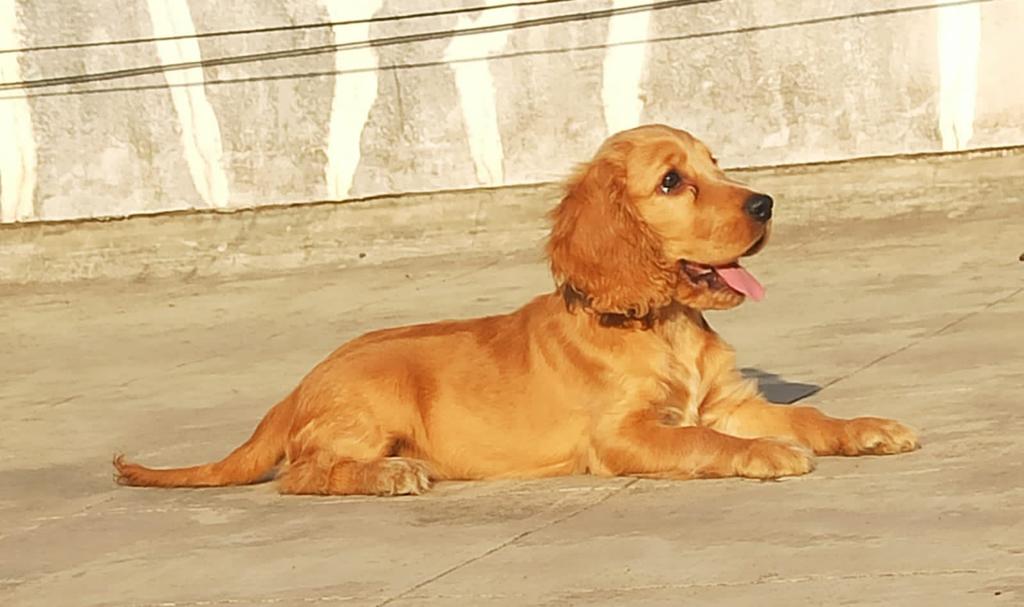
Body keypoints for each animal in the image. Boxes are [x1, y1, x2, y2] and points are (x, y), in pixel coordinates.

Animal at [114, 124, 921, 497]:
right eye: (672, 181)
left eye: (716, 165)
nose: (766, 203)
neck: (661, 324)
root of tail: (297, 386)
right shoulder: (624, 434)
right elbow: (704, 440)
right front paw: (765, 456)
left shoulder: (731, 401)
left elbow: (804, 416)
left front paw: (865, 428)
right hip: (368, 408)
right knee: (302, 472)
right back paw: (388, 475)